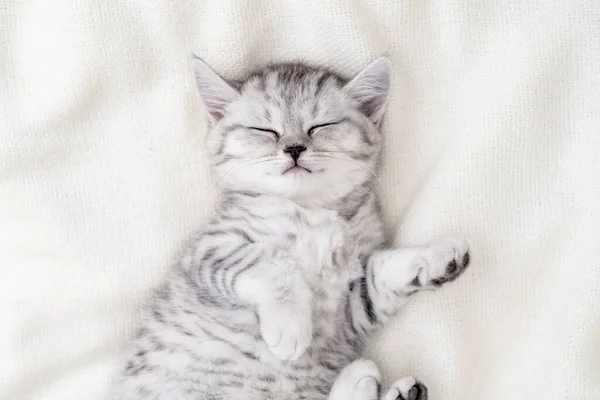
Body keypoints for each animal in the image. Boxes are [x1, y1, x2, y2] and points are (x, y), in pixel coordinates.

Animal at [119, 57, 472, 400]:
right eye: (265, 129)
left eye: (320, 126)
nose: (293, 148)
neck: (309, 209)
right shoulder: (209, 250)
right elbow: (272, 262)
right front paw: (290, 328)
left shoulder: (352, 305)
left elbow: (382, 272)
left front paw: (438, 257)